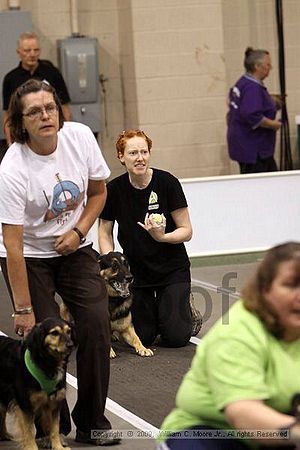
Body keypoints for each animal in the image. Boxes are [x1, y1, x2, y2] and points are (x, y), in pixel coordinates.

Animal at [0, 316, 74, 450]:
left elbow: (55, 428)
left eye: (69, 331)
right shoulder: (25, 404)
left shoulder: (55, 401)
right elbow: (29, 430)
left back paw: (4, 434)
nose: (71, 345)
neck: (46, 364)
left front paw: (58, 446)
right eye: (54, 333)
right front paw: (31, 447)